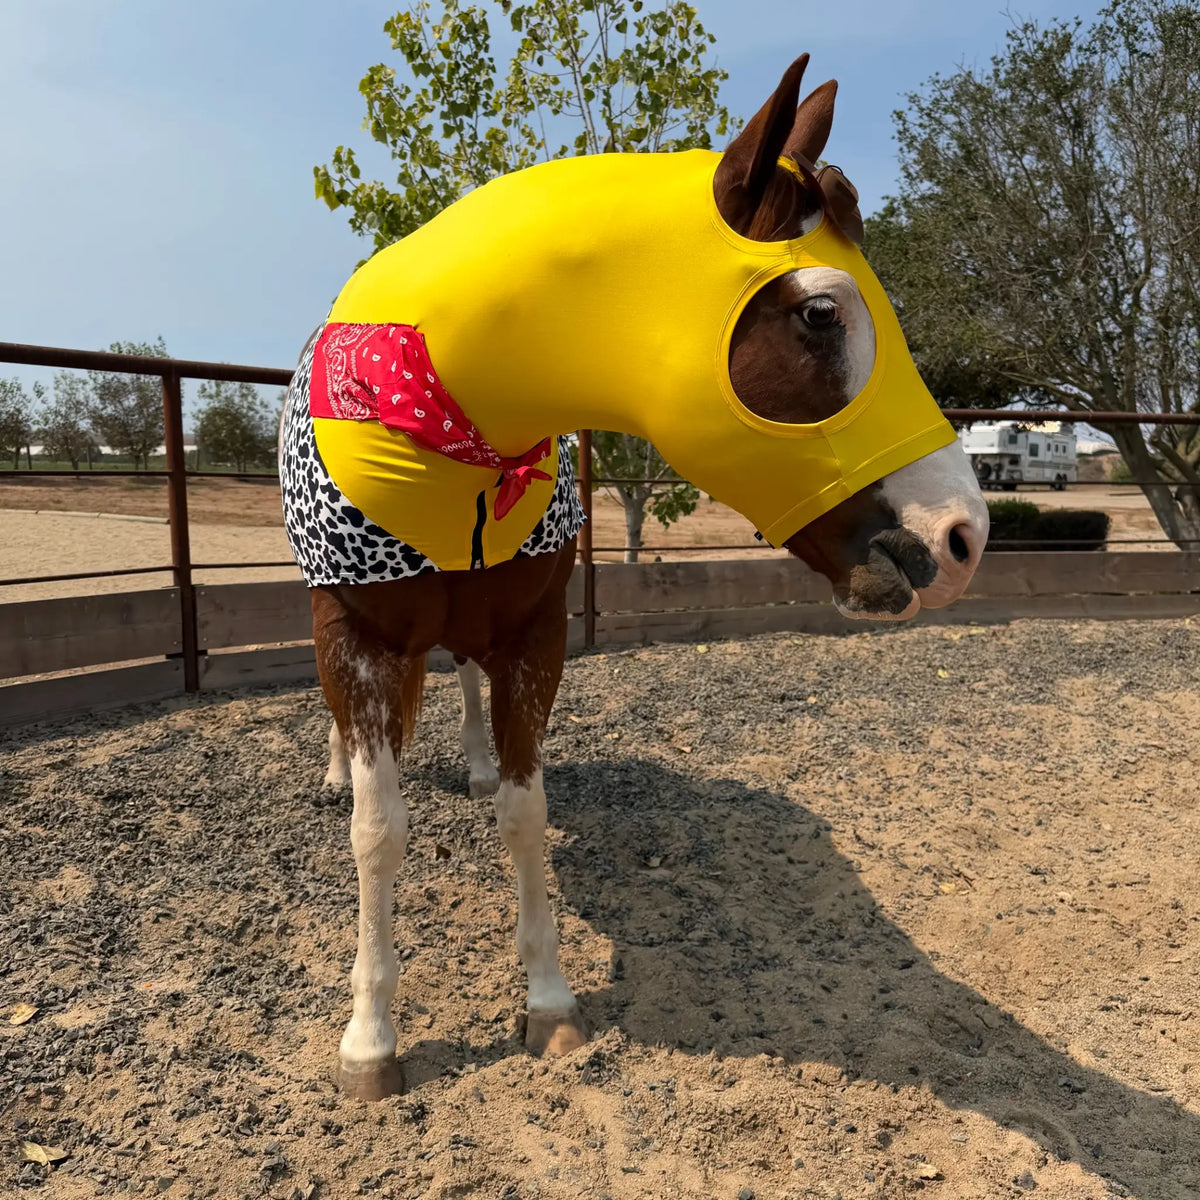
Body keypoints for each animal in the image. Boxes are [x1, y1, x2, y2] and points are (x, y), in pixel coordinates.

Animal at [280, 53, 989, 1100]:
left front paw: (548, 1004)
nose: (962, 535)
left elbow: (523, 812)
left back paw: (471, 757)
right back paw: (339, 773)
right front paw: (370, 1041)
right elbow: (380, 831)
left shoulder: (531, 636)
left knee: (462, 677)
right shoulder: (358, 636)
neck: (448, 420)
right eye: (821, 313)